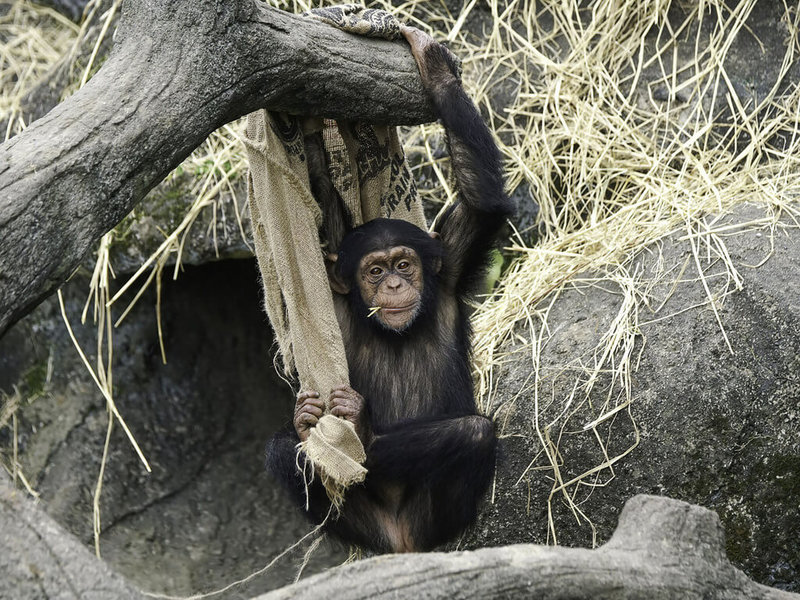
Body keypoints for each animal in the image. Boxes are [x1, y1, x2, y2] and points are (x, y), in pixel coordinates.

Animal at [266, 27, 510, 552]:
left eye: (403, 264)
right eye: (375, 271)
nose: (395, 282)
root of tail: (399, 541)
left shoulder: (451, 262)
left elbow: (481, 202)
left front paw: (436, 68)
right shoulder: (336, 294)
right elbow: (324, 221)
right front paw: (310, 130)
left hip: (429, 521)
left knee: (473, 432)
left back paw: (361, 433)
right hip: (365, 524)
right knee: (281, 450)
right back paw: (308, 426)